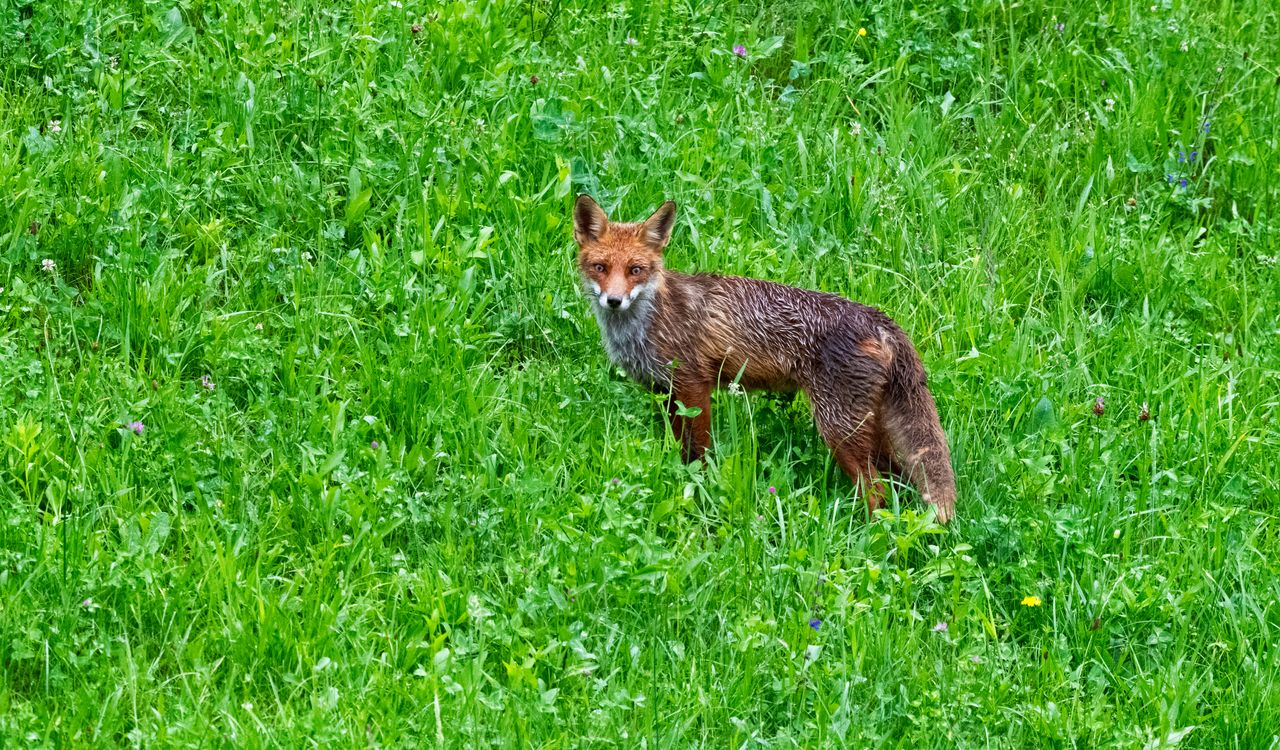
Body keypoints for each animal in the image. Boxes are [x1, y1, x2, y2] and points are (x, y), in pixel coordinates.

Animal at [573, 194, 957, 523]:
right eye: (600, 267)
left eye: (635, 270)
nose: (614, 301)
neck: (647, 322)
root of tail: (879, 318)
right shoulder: (667, 393)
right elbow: (681, 451)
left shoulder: (694, 386)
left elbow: (700, 455)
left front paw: (701, 491)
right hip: (869, 430)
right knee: (897, 481)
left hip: (839, 430)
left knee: (877, 491)